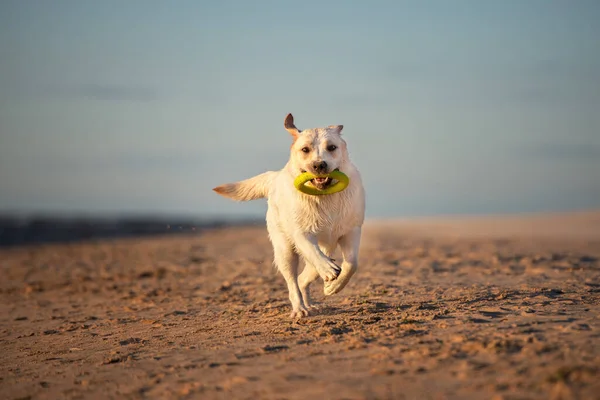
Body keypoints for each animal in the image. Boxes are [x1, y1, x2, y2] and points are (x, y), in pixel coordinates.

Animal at [216, 113, 366, 318]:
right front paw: (328, 272)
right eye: (305, 149)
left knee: (304, 278)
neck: (323, 197)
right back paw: (300, 308)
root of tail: (276, 176)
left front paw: (332, 287)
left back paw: (313, 301)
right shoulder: (300, 233)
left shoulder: (351, 231)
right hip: (285, 250)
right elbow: (314, 253)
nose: (319, 165)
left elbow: (352, 264)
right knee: (293, 281)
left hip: (327, 247)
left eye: (332, 147)